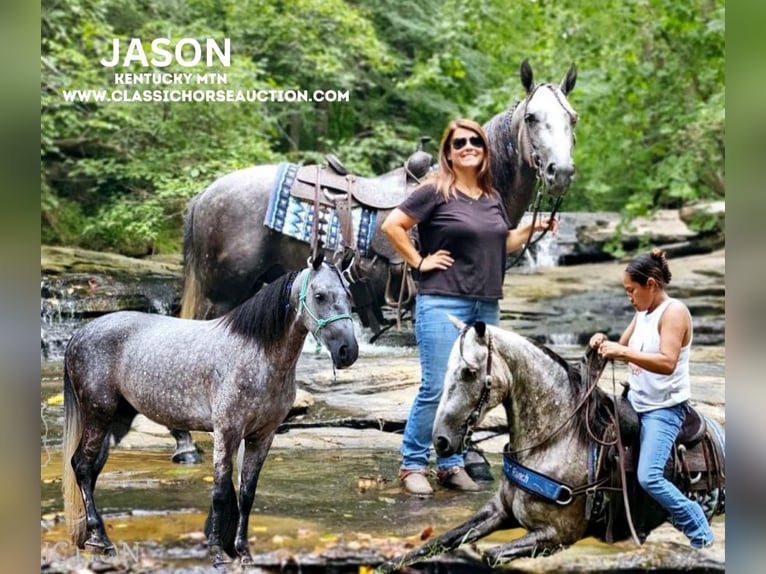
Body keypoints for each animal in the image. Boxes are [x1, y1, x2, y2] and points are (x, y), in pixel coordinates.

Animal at [63, 256, 360, 568]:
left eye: (349, 297)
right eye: (320, 296)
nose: (347, 351)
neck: (256, 353)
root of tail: (80, 334)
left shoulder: (262, 436)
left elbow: (246, 493)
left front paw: (244, 553)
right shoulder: (227, 430)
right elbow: (219, 492)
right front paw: (217, 553)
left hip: (116, 420)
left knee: (91, 470)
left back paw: (91, 538)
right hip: (98, 415)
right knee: (82, 467)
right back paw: (101, 540)